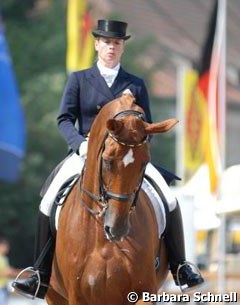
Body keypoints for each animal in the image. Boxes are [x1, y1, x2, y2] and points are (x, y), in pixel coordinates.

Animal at [47, 93, 178, 304]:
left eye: (145, 163)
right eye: (107, 161)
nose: (117, 228)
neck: (103, 242)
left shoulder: (143, 292)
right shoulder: (77, 297)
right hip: (54, 295)